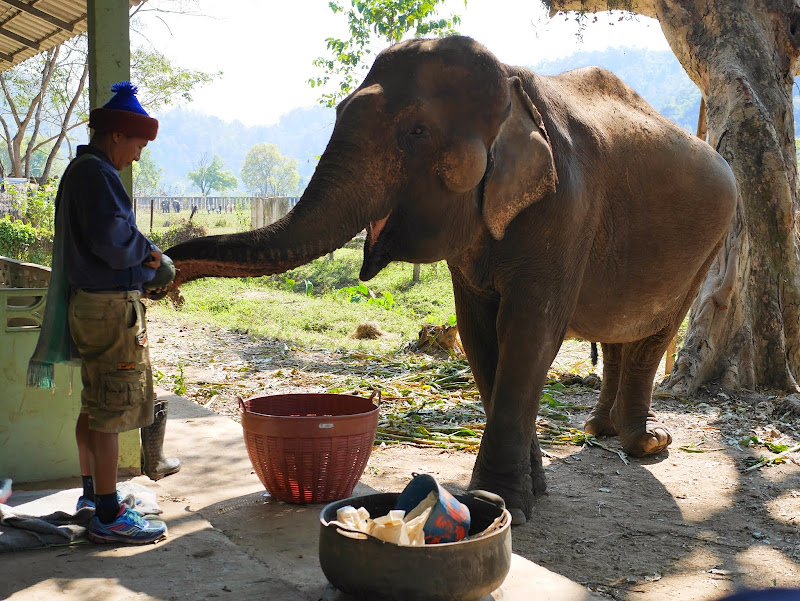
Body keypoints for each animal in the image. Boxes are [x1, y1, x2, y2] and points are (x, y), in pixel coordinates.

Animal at [166, 36, 737, 523]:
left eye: (416, 132)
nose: (164, 281)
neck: (513, 80)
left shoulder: (568, 207)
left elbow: (530, 332)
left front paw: (505, 504)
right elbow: (479, 333)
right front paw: (527, 490)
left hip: (712, 243)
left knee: (654, 335)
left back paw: (646, 444)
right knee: (619, 333)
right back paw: (601, 430)